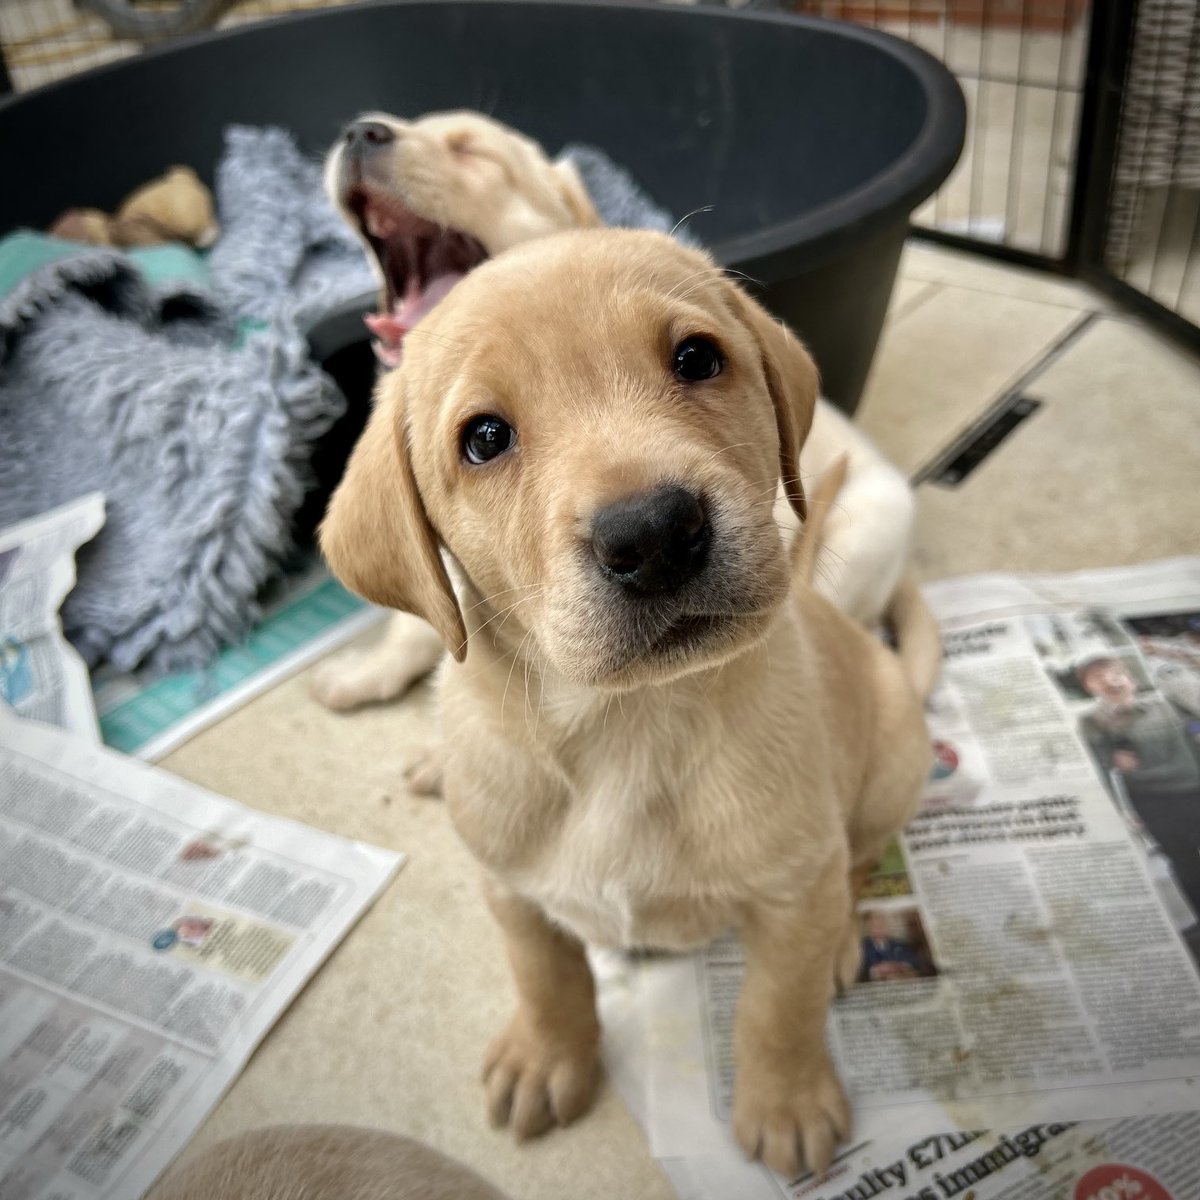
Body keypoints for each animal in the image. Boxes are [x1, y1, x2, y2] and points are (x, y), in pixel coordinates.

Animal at [312, 110, 916, 710]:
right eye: (486, 438)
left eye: (472, 151)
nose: (361, 132)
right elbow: (419, 623)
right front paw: (368, 671)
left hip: (866, 530)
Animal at [321, 229, 936, 1176]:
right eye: (484, 438)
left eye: (696, 358)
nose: (653, 534)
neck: (625, 724)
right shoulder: (509, 888)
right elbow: (547, 977)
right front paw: (548, 1056)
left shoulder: (793, 888)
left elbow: (777, 1007)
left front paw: (787, 1102)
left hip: (893, 763)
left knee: (860, 860)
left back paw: (845, 941)